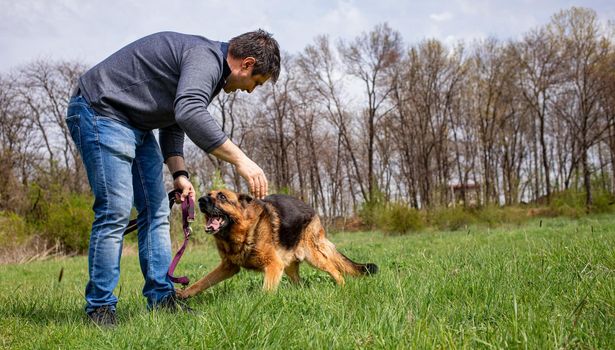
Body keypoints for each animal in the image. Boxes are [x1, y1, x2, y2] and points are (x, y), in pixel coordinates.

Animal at [174, 189, 380, 298]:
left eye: (222, 197)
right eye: (208, 194)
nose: (200, 200)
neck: (245, 230)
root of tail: (313, 211)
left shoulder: (273, 265)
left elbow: (266, 291)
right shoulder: (228, 267)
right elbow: (201, 282)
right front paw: (183, 294)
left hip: (313, 257)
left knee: (334, 269)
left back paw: (343, 288)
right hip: (288, 266)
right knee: (300, 282)